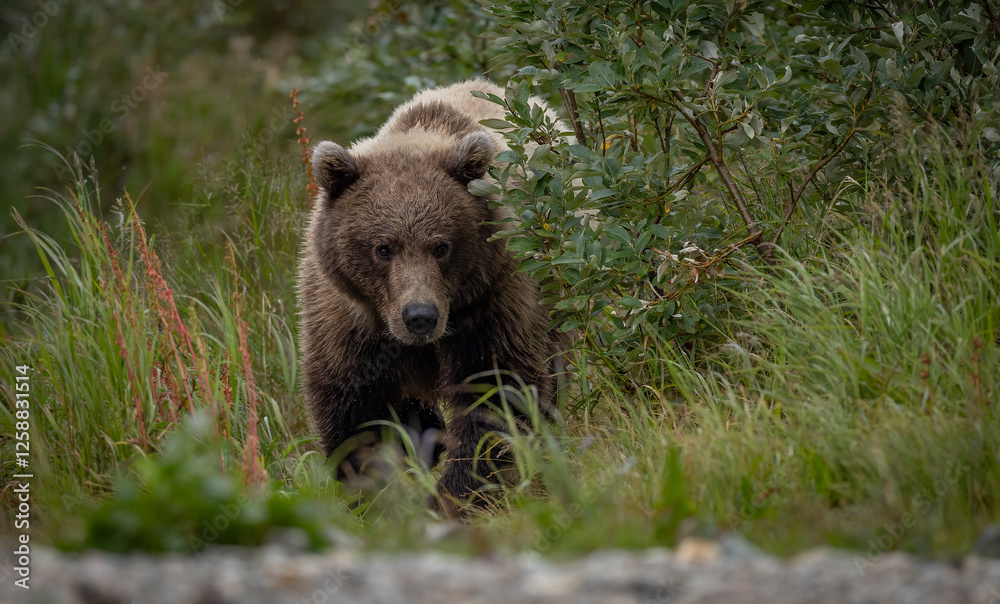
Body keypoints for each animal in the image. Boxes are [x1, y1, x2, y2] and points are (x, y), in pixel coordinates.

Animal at [297, 80, 564, 516]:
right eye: (383, 248)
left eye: (441, 246)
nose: (419, 315)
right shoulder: (348, 320)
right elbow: (355, 411)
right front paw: (378, 497)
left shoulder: (493, 300)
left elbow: (494, 394)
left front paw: (454, 497)